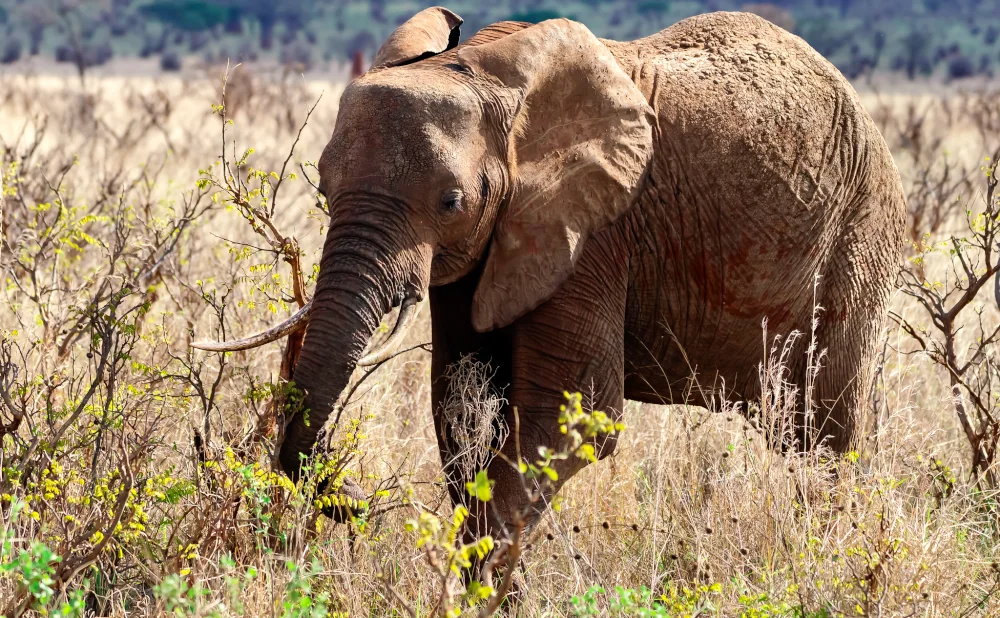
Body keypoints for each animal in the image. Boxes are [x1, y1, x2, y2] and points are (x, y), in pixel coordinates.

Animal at [195, 8, 908, 540]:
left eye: (450, 202)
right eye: (323, 187)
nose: (355, 507)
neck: (483, 77)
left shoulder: (591, 231)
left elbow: (570, 412)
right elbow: (460, 403)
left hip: (858, 239)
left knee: (827, 432)